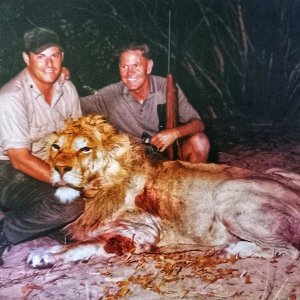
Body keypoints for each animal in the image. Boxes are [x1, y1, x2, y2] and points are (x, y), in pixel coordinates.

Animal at [27, 114, 298, 268]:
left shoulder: (143, 231)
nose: (60, 168)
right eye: (56, 147)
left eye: (85, 149)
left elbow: (86, 243)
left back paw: (233, 249)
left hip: (226, 191)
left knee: (289, 250)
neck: (97, 190)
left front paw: (43, 256)